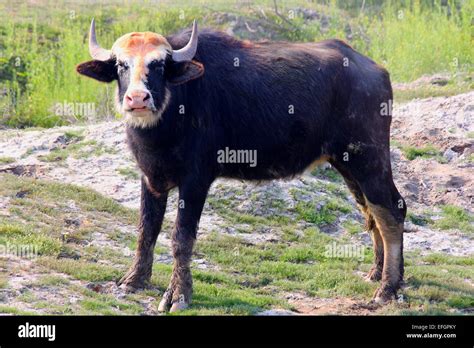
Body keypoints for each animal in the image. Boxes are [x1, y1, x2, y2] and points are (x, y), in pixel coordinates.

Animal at [76, 19, 406, 312]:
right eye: (122, 65)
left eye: (158, 65)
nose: (137, 98)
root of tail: (376, 71)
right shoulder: (151, 178)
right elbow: (147, 229)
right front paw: (135, 279)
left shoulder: (195, 181)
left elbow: (181, 238)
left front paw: (178, 295)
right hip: (348, 165)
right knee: (371, 211)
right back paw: (377, 273)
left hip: (370, 159)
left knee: (392, 210)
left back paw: (388, 289)